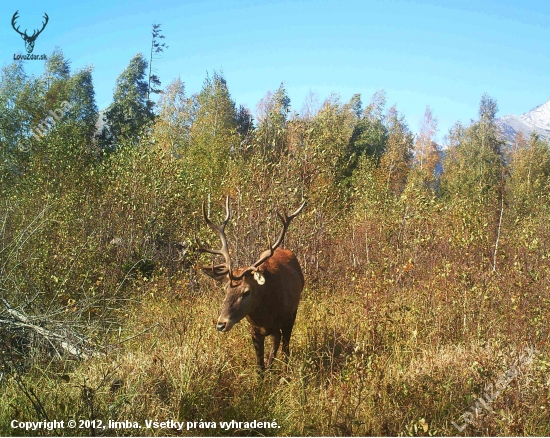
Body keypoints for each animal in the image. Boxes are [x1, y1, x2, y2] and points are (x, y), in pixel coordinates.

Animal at [197, 197, 306, 372]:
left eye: (246, 292)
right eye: (225, 290)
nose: (221, 324)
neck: (265, 315)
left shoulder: (283, 322)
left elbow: (279, 354)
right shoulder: (254, 331)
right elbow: (260, 366)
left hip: (293, 312)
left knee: (285, 346)